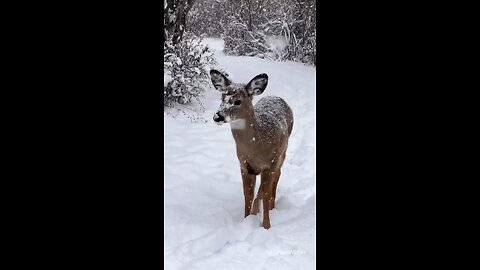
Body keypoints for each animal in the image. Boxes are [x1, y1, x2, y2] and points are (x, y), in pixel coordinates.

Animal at [209, 69, 292, 228]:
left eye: (238, 101)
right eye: (222, 97)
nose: (217, 117)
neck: (256, 147)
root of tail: (277, 97)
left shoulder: (270, 163)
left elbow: (265, 193)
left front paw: (266, 226)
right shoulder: (244, 166)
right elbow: (248, 195)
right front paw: (246, 220)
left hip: (282, 152)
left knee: (277, 177)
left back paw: (272, 206)